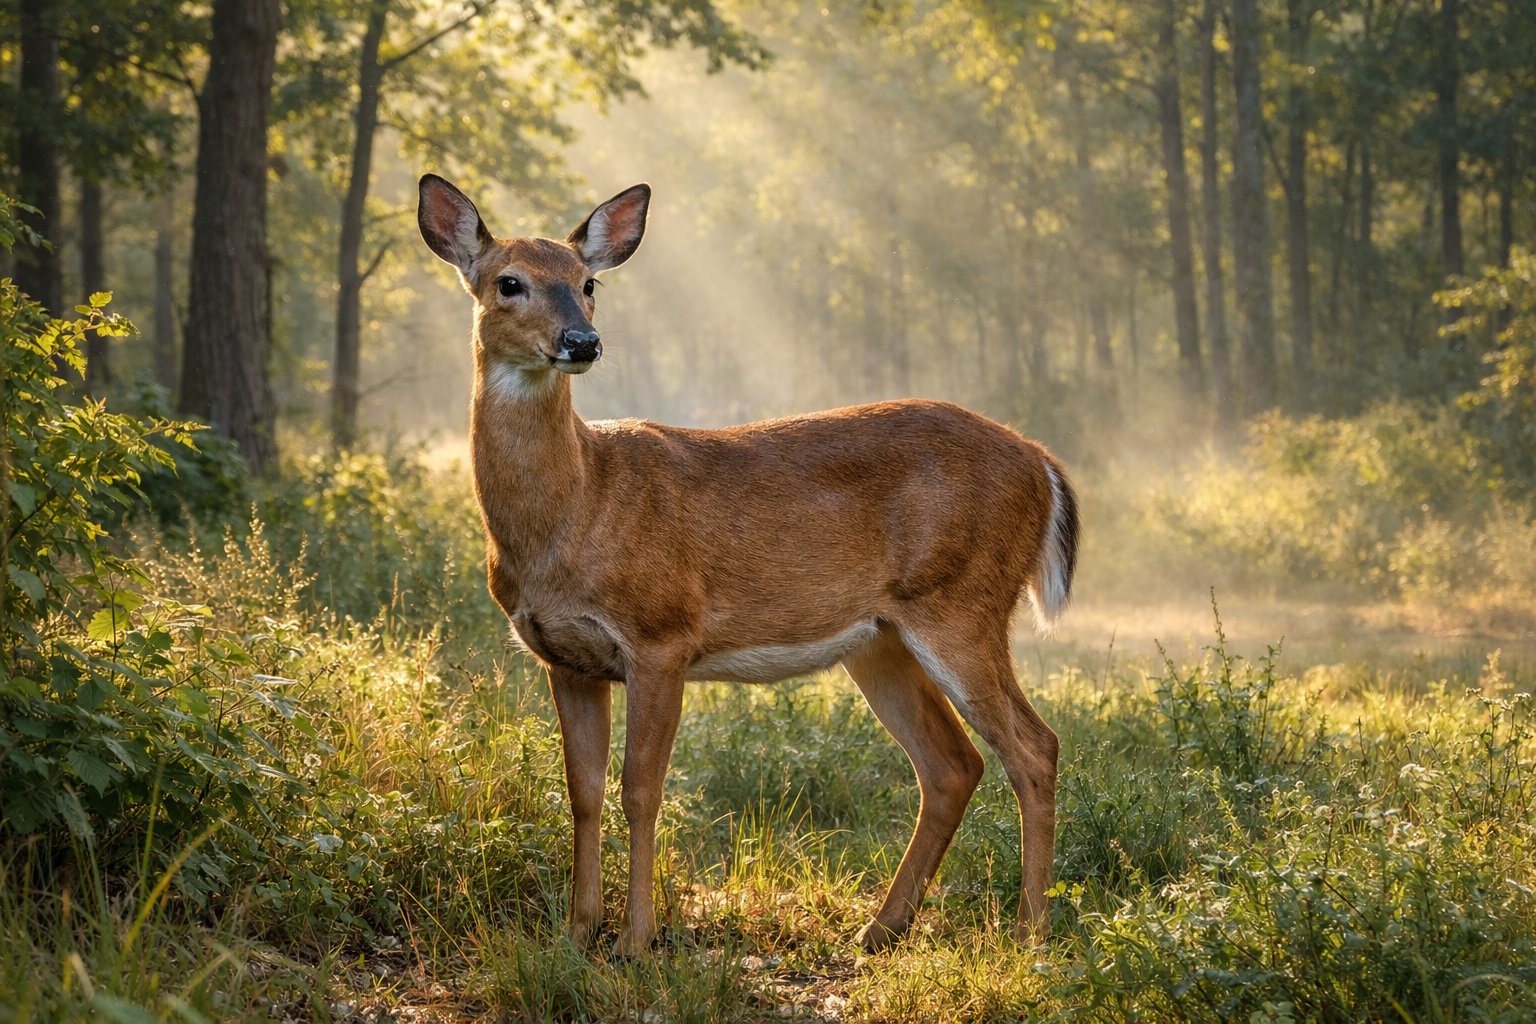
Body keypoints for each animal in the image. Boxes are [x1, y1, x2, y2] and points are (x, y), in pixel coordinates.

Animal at [417, 173, 1080, 956]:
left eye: (588, 284)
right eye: (509, 282)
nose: (582, 341)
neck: (578, 505)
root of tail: (1041, 462)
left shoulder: (661, 632)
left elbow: (641, 789)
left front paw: (635, 940)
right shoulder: (566, 657)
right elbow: (582, 790)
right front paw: (577, 934)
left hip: (963, 600)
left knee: (1034, 747)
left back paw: (1030, 933)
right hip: (881, 637)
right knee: (953, 764)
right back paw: (878, 929)